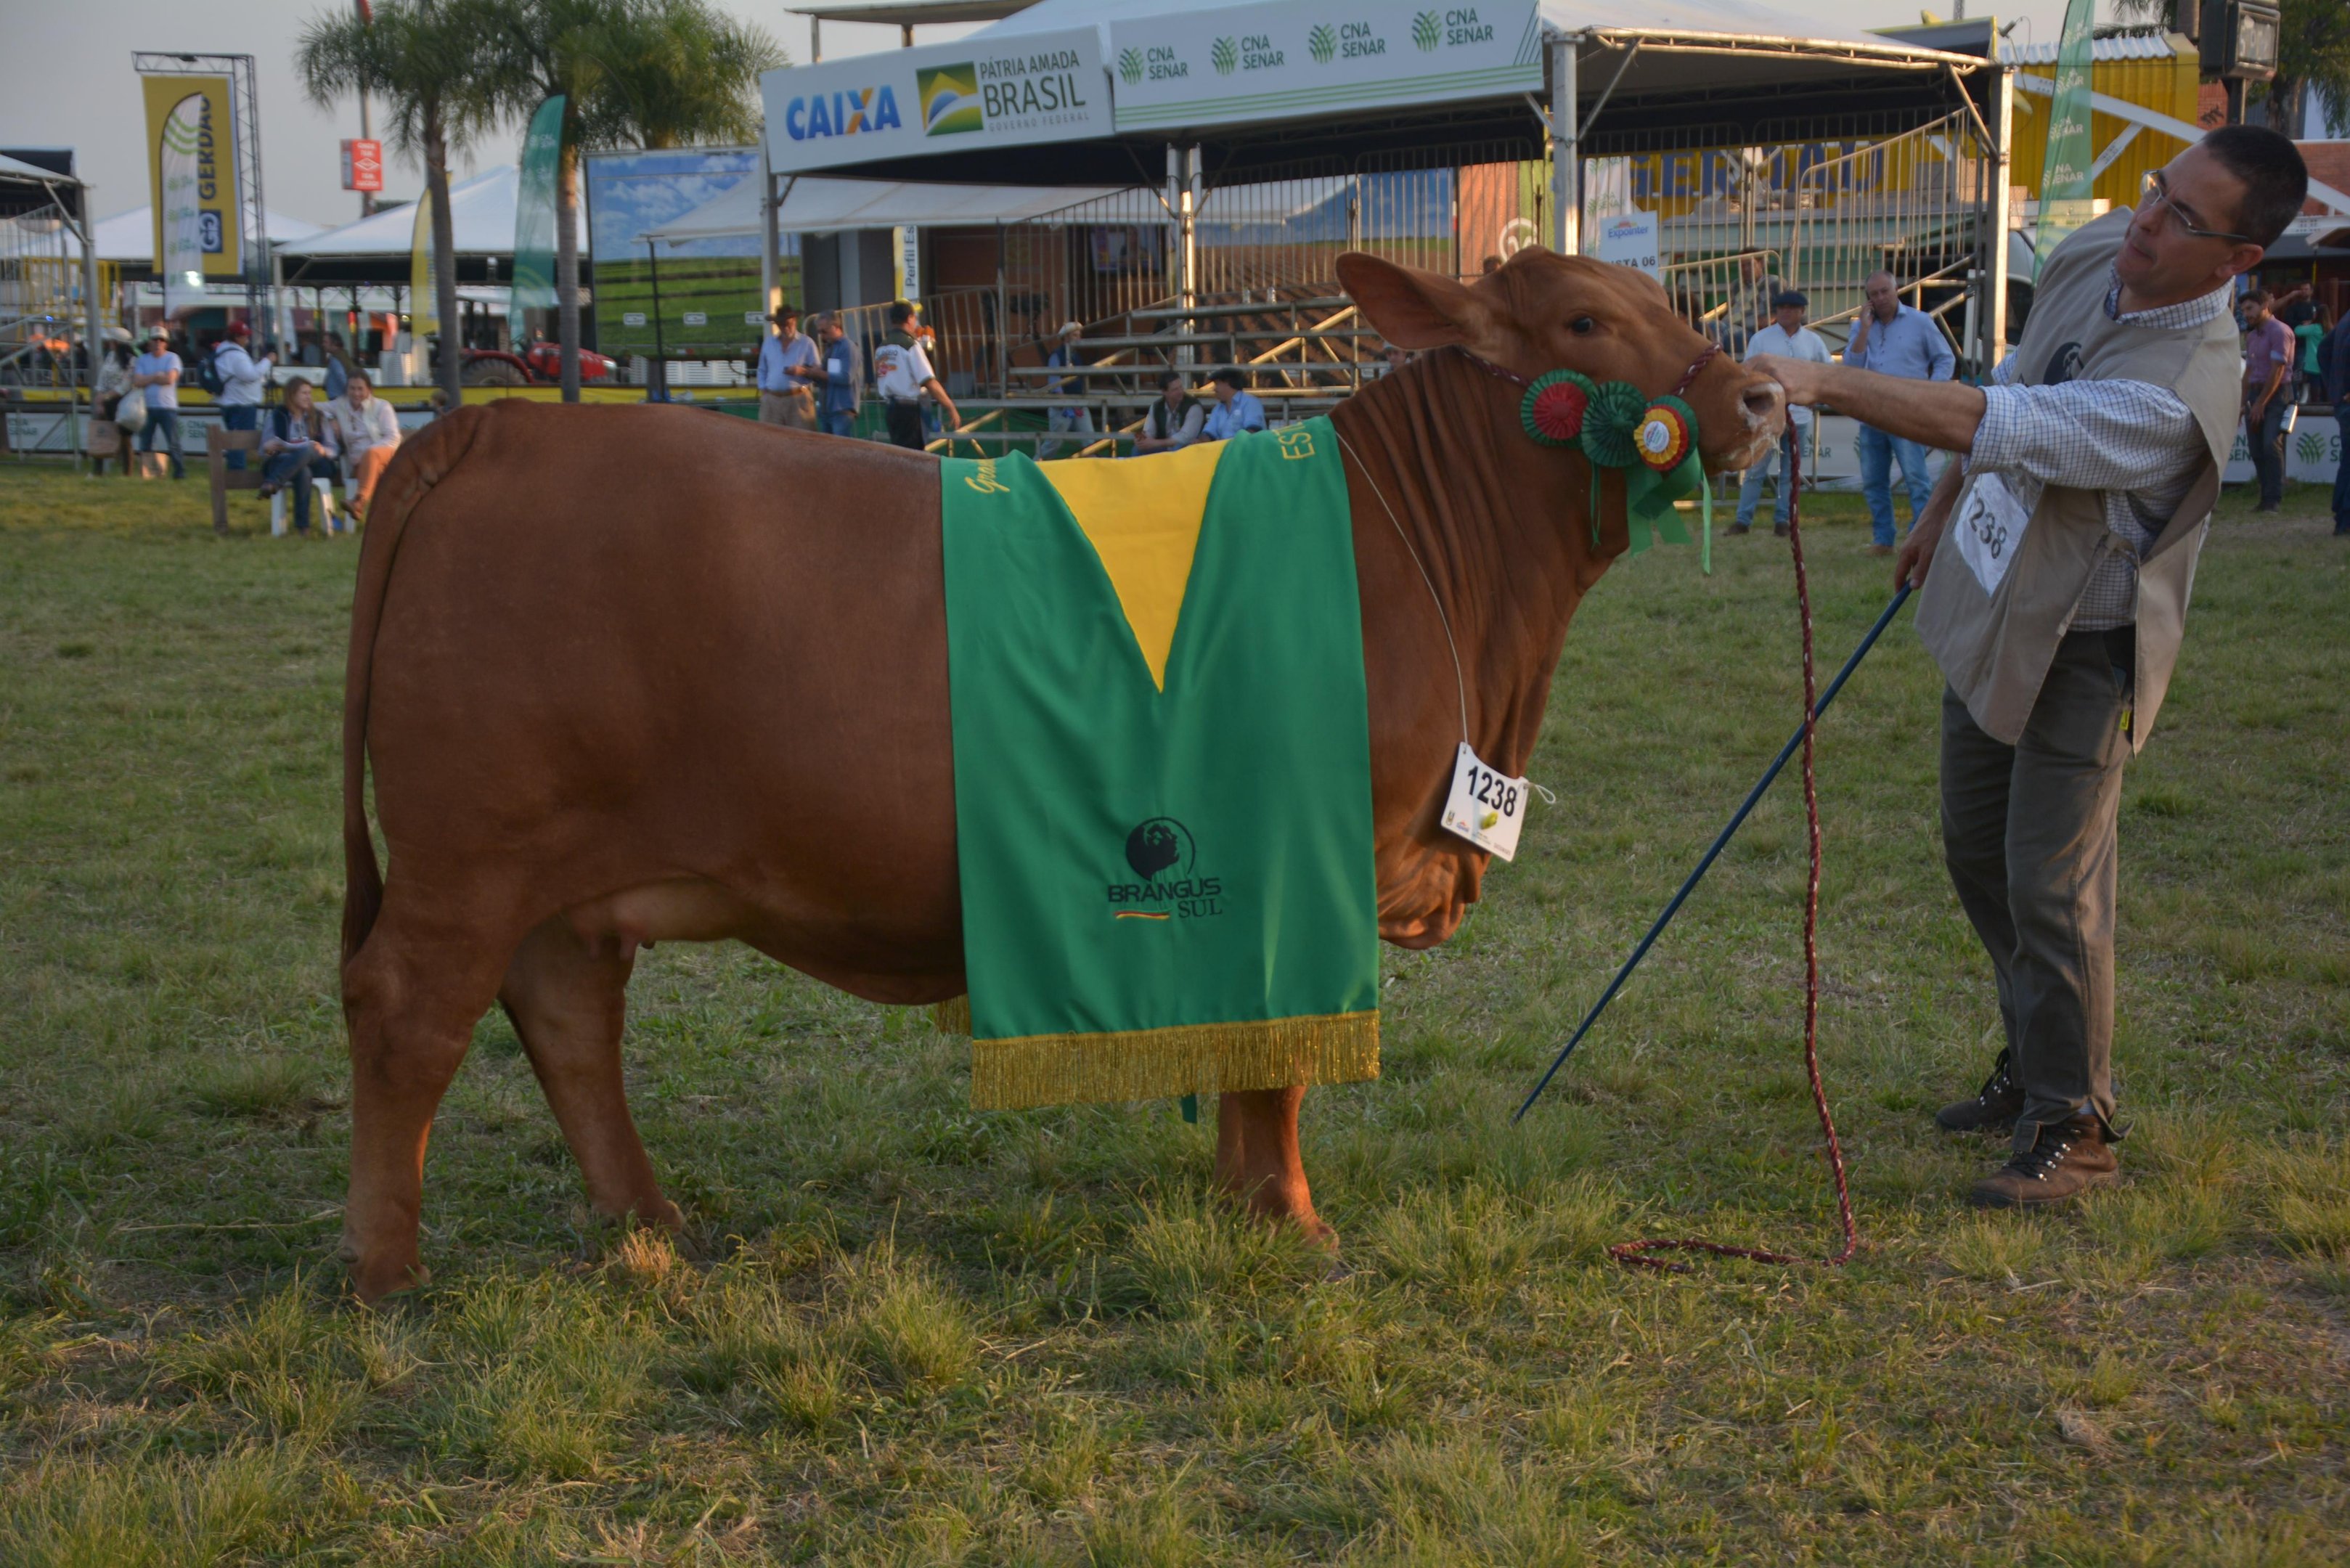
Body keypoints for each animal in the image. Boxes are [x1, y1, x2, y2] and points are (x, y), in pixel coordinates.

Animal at [335, 248, 1786, 1301]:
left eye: (1666, 301)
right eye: (1587, 321)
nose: (1765, 399)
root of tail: (496, 430)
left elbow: (1242, 1046)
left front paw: (1241, 1201)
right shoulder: (1311, 863)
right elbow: (1281, 1055)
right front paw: (1295, 1223)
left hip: (557, 875)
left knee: (567, 1020)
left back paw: (649, 1222)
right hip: (473, 853)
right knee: (411, 1012)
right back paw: (387, 1272)